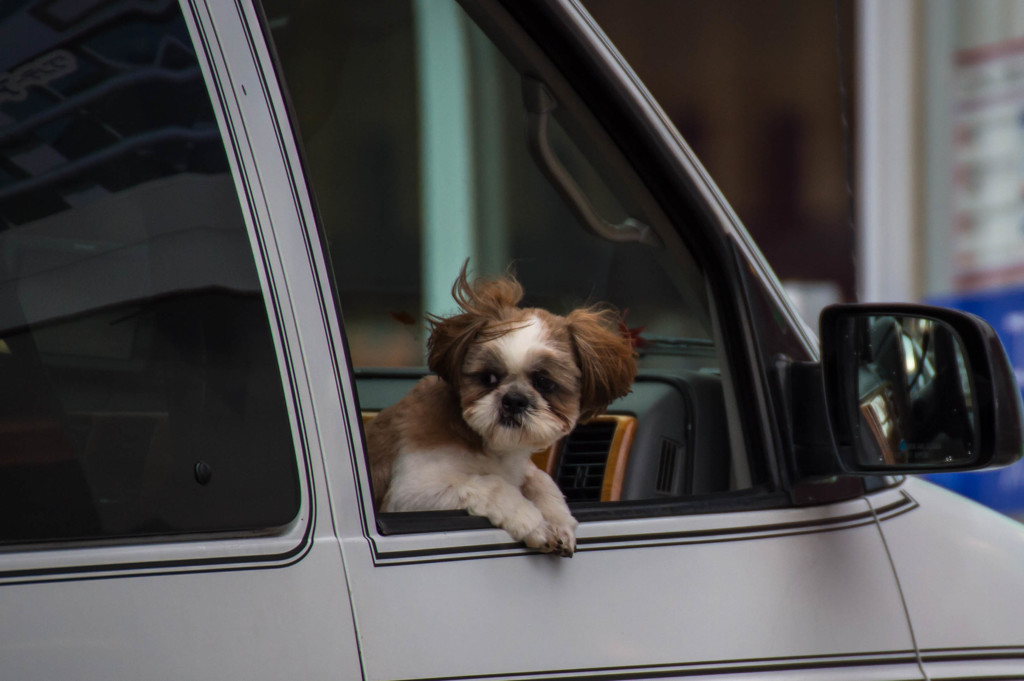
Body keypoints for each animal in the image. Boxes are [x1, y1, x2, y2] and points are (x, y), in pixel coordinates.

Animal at [364, 262, 634, 557]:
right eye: (489, 378)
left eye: (544, 382)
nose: (513, 399)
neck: (487, 444)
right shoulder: (411, 494)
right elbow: (493, 484)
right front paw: (535, 523)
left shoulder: (523, 468)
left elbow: (542, 481)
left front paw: (558, 521)